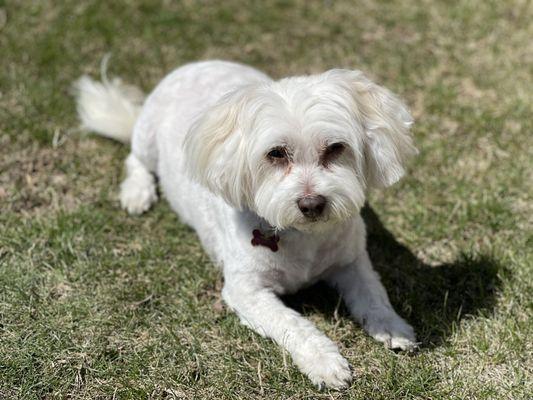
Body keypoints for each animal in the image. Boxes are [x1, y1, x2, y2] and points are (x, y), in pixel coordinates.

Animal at [74, 59, 416, 388]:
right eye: (276, 153)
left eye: (335, 148)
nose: (312, 204)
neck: (301, 236)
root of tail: (193, 64)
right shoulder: (246, 291)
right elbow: (293, 323)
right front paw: (324, 361)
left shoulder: (352, 262)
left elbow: (374, 295)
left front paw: (391, 326)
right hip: (146, 138)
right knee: (134, 160)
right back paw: (137, 192)